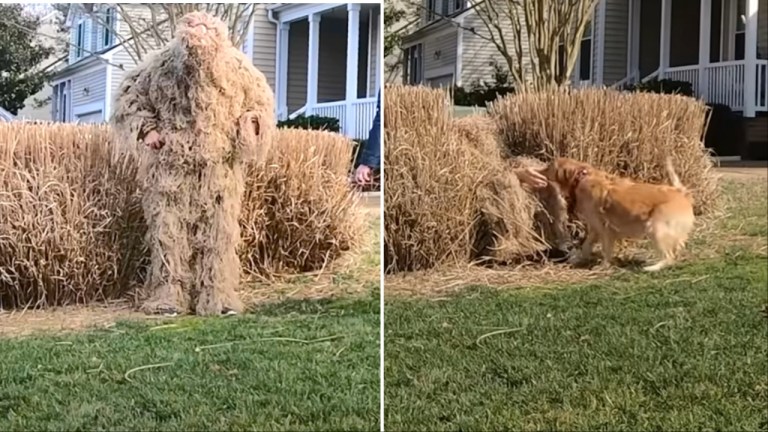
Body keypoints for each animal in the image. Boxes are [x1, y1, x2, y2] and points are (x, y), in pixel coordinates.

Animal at [540, 157, 696, 272]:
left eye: (548, 167)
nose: (539, 170)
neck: (581, 178)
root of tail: (681, 193)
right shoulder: (595, 228)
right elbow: (586, 246)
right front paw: (578, 258)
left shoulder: (605, 230)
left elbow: (606, 251)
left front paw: (603, 266)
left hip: (655, 229)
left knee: (669, 257)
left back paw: (651, 268)